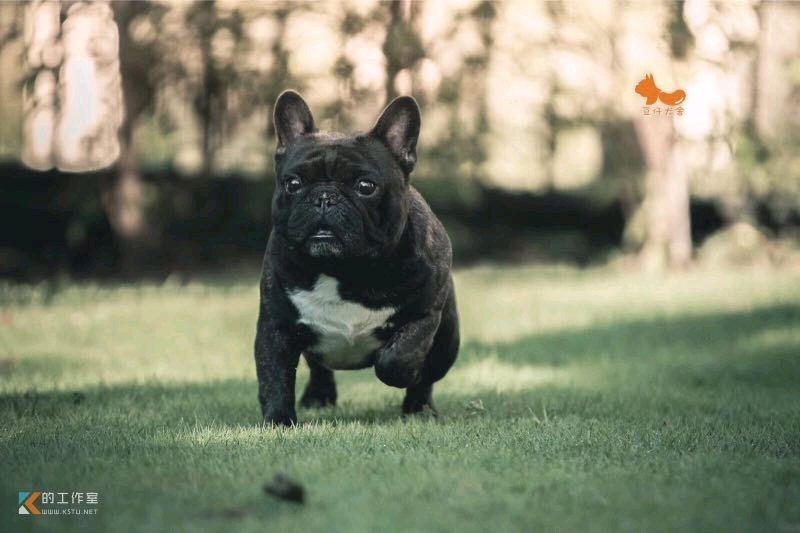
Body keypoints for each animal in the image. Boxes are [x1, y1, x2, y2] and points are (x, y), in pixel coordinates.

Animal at [254, 91, 460, 426]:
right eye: (293, 183)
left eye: (365, 186)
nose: (324, 197)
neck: (344, 270)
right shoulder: (276, 327)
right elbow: (274, 378)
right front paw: (279, 421)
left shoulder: (424, 314)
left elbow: (398, 356)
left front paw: (405, 373)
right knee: (319, 368)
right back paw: (318, 397)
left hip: (448, 340)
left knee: (429, 374)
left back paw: (418, 406)